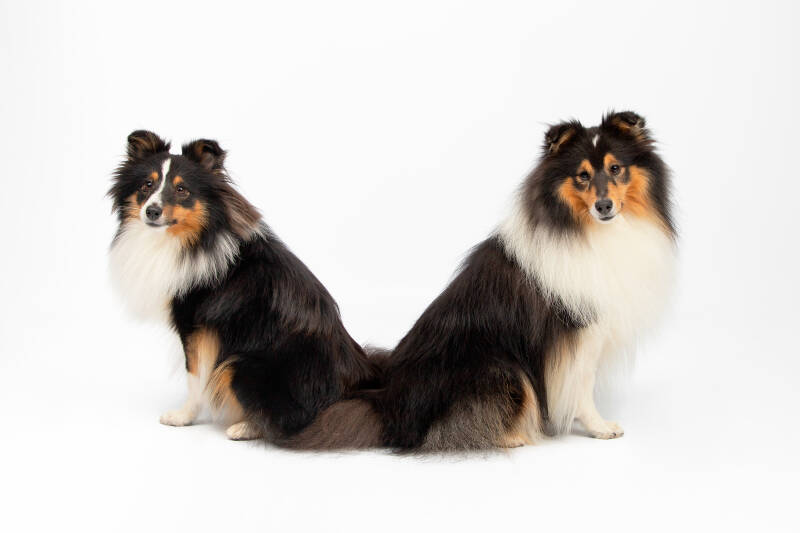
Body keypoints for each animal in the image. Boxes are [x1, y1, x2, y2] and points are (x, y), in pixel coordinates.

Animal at [108, 131, 378, 442]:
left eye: (182, 190)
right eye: (147, 185)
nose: (151, 212)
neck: (193, 238)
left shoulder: (195, 327)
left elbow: (194, 377)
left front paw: (182, 417)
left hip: (239, 363)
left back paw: (244, 427)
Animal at [287, 111, 676, 451]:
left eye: (616, 168)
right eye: (582, 176)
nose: (604, 206)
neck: (587, 230)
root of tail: (386, 407)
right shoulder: (576, 334)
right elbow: (581, 387)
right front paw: (600, 427)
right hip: (501, 365)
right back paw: (511, 435)